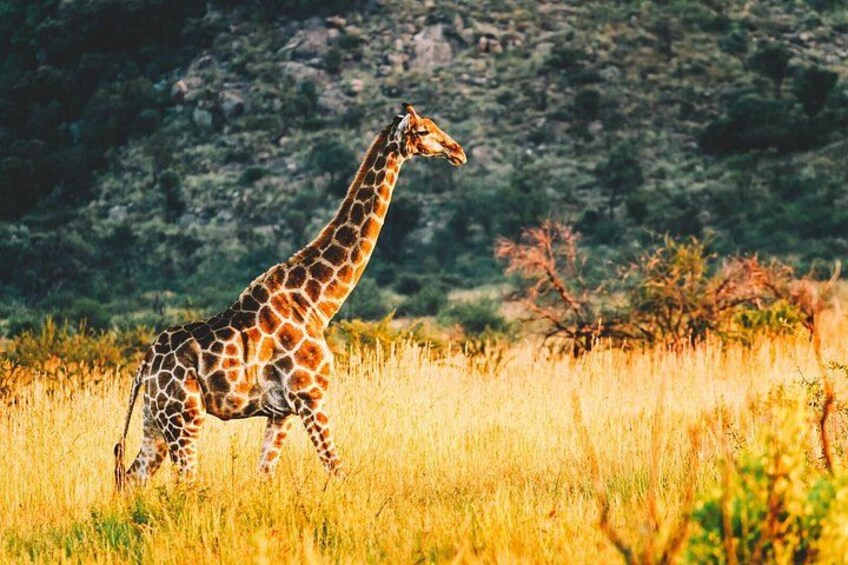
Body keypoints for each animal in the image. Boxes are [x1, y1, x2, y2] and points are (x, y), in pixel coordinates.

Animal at [114, 103, 466, 488]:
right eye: (423, 131)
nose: (457, 151)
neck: (316, 301)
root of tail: (145, 366)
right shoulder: (309, 394)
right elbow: (336, 469)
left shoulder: (281, 411)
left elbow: (264, 474)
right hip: (184, 417)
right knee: (184, 482)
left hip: (155, 421)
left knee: (130, 476)